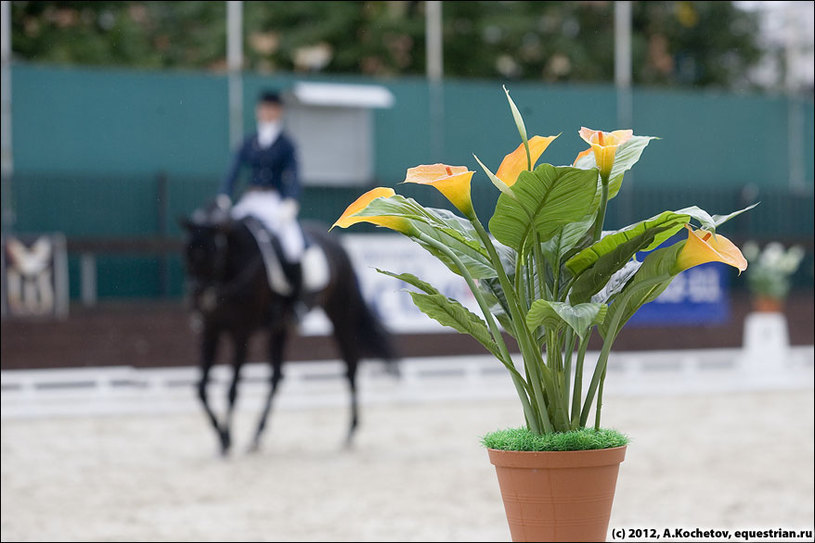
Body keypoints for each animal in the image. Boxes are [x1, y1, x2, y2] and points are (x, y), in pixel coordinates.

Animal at [180, 204, 400, 454]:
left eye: (212, 251)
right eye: (186, 253)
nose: (197, 302)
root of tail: (334, 241)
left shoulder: (241, 333)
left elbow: (232, 390)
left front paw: (227, 437)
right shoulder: (211, 330)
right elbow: (200, 388)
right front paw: (221, 437)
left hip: (340, 314)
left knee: (351, 366)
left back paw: (351, 431)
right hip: (280, 328)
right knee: (276, 377)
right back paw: (257, 434)